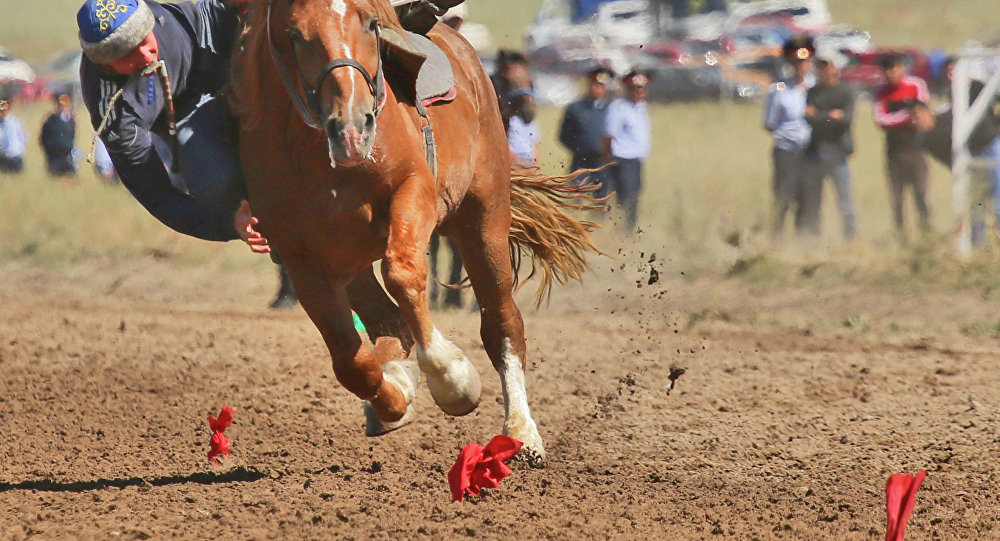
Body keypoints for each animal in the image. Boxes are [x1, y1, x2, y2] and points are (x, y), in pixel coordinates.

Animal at [230, 0, 596, 464]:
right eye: (294, 35)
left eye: (370, 23)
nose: (352, 129)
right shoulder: (303, 258)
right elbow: (351, 362)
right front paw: (396, 395)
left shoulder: (414, 191)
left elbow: (404, 274)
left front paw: (453, 378)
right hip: (351, 258)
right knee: (387, 322)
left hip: (483, 218)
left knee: (501, 321)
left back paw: (521, 432)